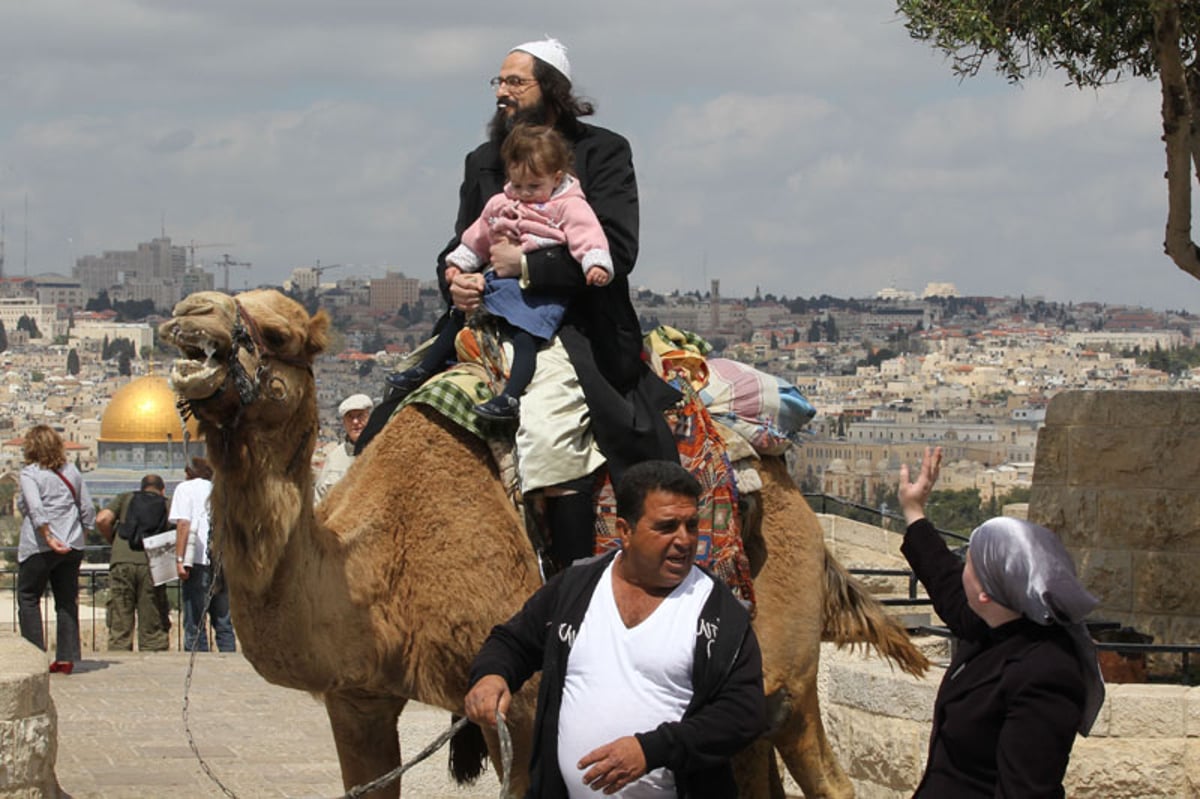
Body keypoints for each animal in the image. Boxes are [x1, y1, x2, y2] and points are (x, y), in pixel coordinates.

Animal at [159, 287, 926, 796]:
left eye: (278, 333)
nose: (190, 314)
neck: (379, 560)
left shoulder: (524, 703)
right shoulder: (358, 699)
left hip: (787, 672)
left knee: (824, 772)